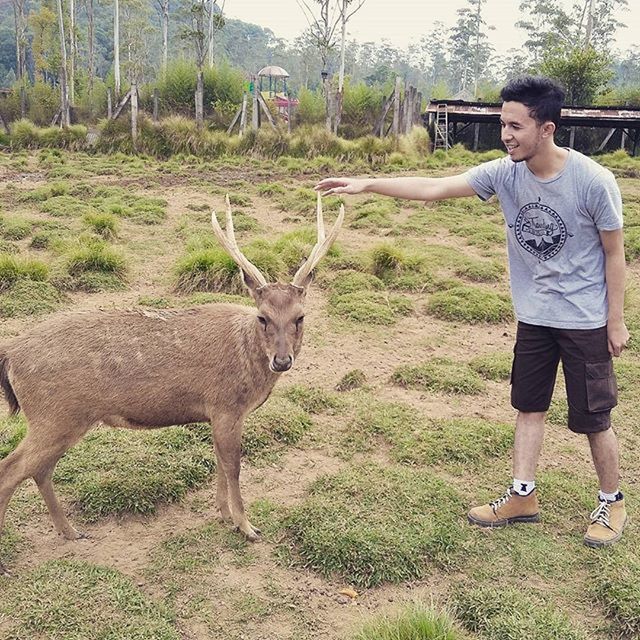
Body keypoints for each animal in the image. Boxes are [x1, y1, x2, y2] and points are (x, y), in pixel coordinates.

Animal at [0, 191, 344, 576]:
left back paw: (70, 531)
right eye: (262, 317)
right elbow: (233, 466)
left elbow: (220, 463)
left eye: (300, 316)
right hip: (54, 416)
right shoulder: (226, 406)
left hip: (62, 420)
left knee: (39, 470)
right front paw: (247, 526)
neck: (248, 362)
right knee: (10, 470)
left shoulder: (216, 414)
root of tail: (10, 354)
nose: (282, 361)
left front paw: (223, 514)